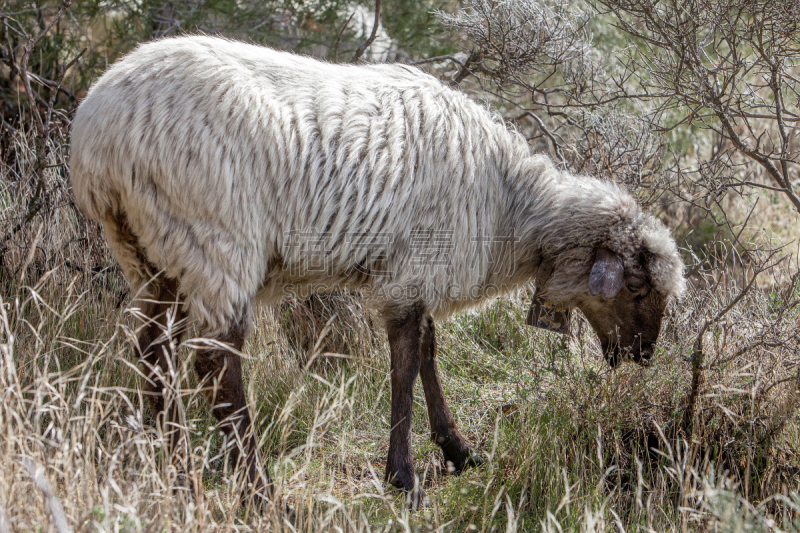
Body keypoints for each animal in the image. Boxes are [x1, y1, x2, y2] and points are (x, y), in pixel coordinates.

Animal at [69, 35, 684, 510]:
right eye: (635, 287)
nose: (642, 357)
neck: (511, 204)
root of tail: (100, 130)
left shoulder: (419, 275)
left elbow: (429, 353)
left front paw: (459, 451)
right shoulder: (413, 271)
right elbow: (406, 366)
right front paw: (404, 478)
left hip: (149, 251)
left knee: (153, 352)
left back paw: (169, 469)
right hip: (215, 240)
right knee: (216, 367)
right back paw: (258, 491)